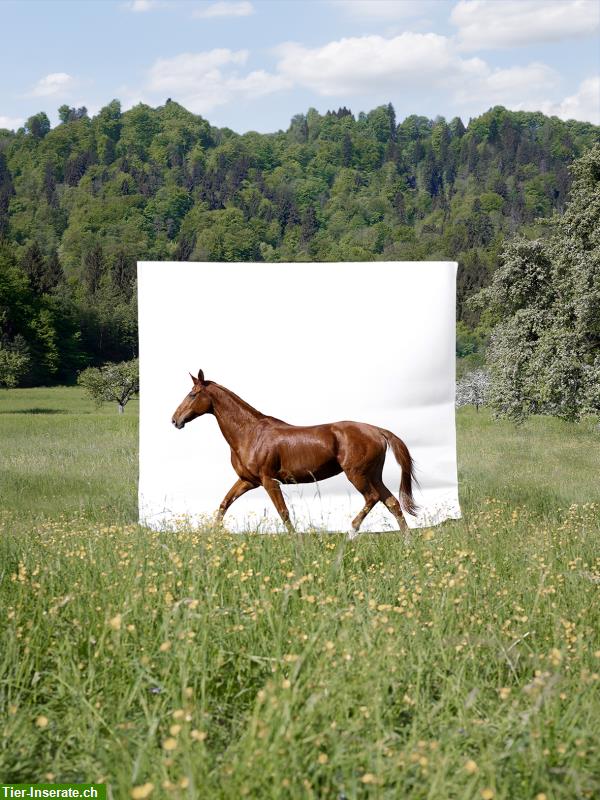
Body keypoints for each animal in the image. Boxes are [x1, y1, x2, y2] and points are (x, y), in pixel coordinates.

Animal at [171, 370, 420, 536]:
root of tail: (377, 430)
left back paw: (351, 533)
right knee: (392, 503)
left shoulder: (269, 480)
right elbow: (224, 504)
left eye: (192, 394)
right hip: (373, 475)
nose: (175, 420)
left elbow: (283, 513)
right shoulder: (247, 481)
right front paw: (211, 538)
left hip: (357, 475)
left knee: (373, 498)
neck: (250, 433)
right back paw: (406, 543)